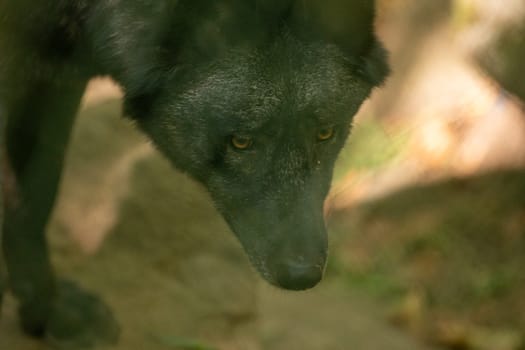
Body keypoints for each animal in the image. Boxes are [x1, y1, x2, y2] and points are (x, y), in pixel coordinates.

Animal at [0, 0, 384, 344]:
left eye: (325, 133)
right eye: (241, 141)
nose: (301, 273)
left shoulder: (57, 72)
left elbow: (35, 198)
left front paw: (48, 312)